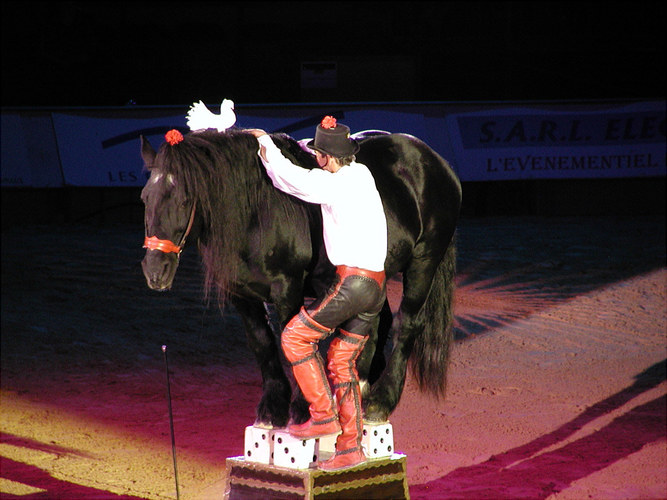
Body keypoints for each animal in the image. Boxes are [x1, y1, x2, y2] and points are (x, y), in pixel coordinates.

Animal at [141, 128, 462, 426]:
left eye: (185, 200)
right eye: (145, 197)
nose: (155, 270)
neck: (256, 212)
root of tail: (437, 162)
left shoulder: (287, 288)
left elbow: (288, 340)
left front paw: (302, 408)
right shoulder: (241, 295)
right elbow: (262, 342)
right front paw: (272, 409)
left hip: (423, 262)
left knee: (407, 324)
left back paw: (381, 402)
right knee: (375, 325)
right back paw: (359, 386)